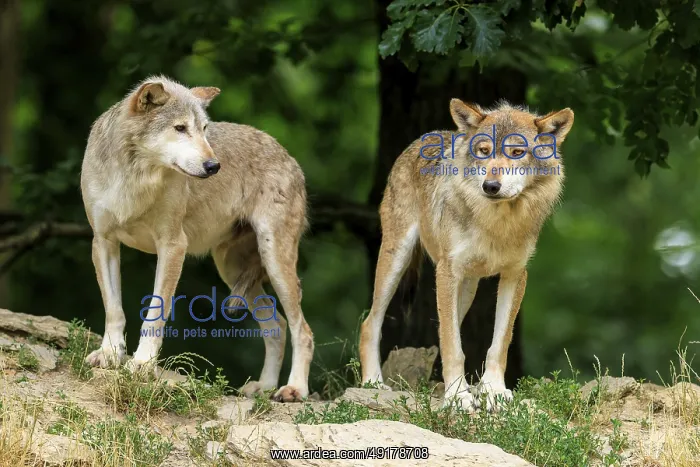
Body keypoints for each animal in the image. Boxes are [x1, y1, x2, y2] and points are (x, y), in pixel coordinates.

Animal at [80, 75, 314, 402]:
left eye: (204, 129)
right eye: (180, 128)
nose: (214, 166)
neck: (134, 178)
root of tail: (290, 158)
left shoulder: (173, 246)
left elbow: (155, 313)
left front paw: (141, 364)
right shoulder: (103, 242)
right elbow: (114, 309)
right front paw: (110, 355)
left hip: (275, 264)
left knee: (302, 329)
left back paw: (293, 389)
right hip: (232, 271)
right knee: (277, 327)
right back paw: (262, 388)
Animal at [359, 99, 574, 410]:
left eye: (517, 152)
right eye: (483, 151)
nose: (491, 187)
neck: (497, 224)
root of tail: (427, 136)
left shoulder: (515, 275)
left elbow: (498, 344)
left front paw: (493, 390)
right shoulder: (447, 271)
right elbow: (452, 345)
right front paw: (457, 396)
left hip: (468, 288)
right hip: (397, 259)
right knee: (370, 323)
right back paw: (372, 382)